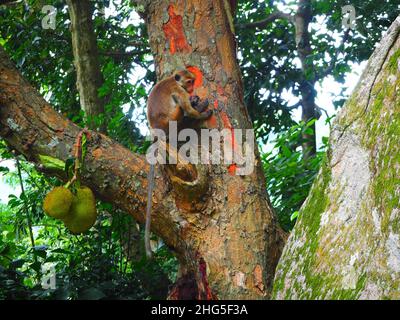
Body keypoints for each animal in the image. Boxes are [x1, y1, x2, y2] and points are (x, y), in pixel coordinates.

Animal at [145, 69, 212, 258]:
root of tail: (158, 134)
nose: (191, 88)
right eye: (188, 82)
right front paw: (202, 111)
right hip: (173, 120)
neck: (172, 80)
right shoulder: (178, 90)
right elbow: (188, 109)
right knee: (182, 110)